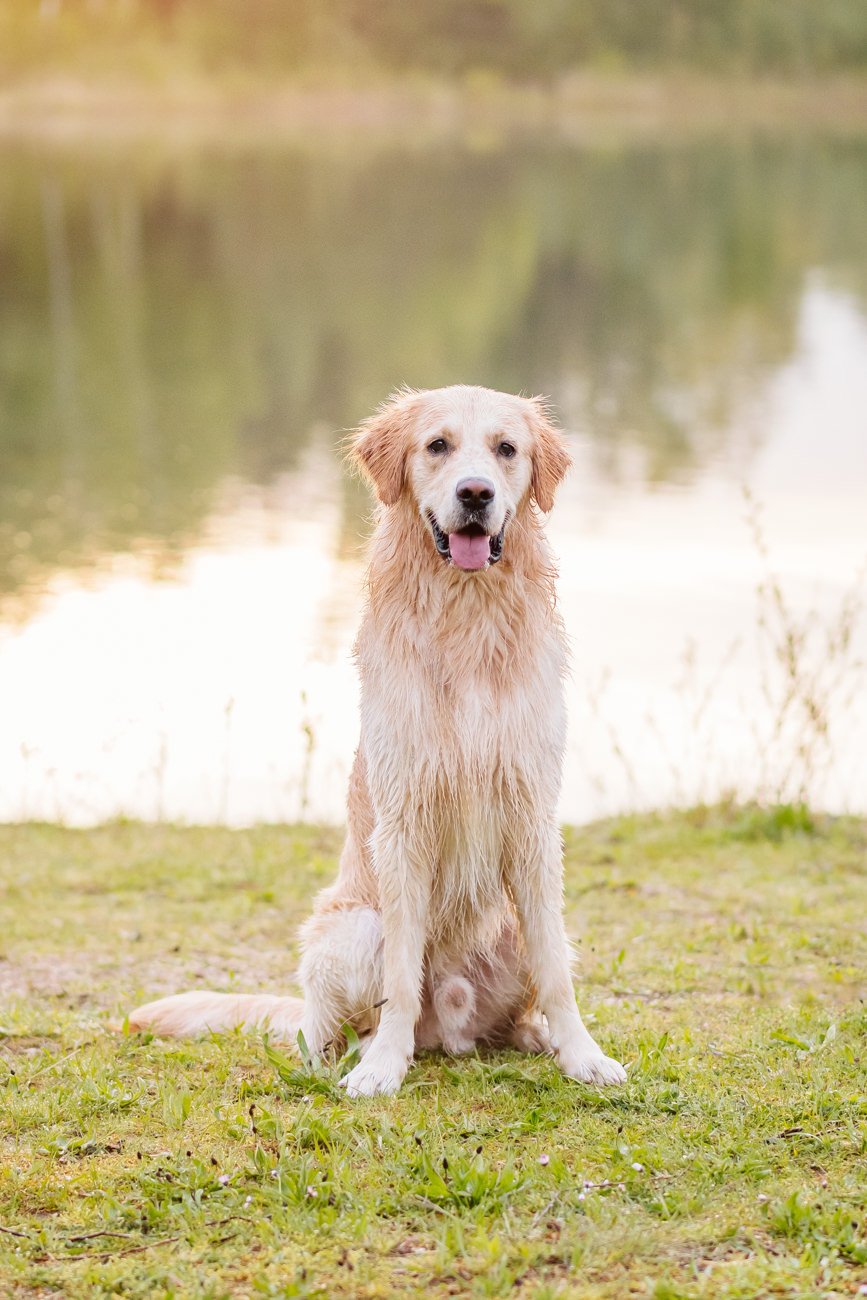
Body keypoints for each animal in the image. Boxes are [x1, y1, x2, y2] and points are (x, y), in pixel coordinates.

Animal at [127, 384, 623, 1097]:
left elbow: (557, 970)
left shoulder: (532, 814)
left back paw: (532, 1037)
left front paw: (582, 1054)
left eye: (506, 449)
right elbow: (401, 978)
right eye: (437, 445)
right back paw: (347, 1054)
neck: (465, 615)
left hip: (509, 931)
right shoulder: (404, 821)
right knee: (333, 1023)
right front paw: (384, 1067)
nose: (476, 493)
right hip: (351, 928)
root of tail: (451, 1032)